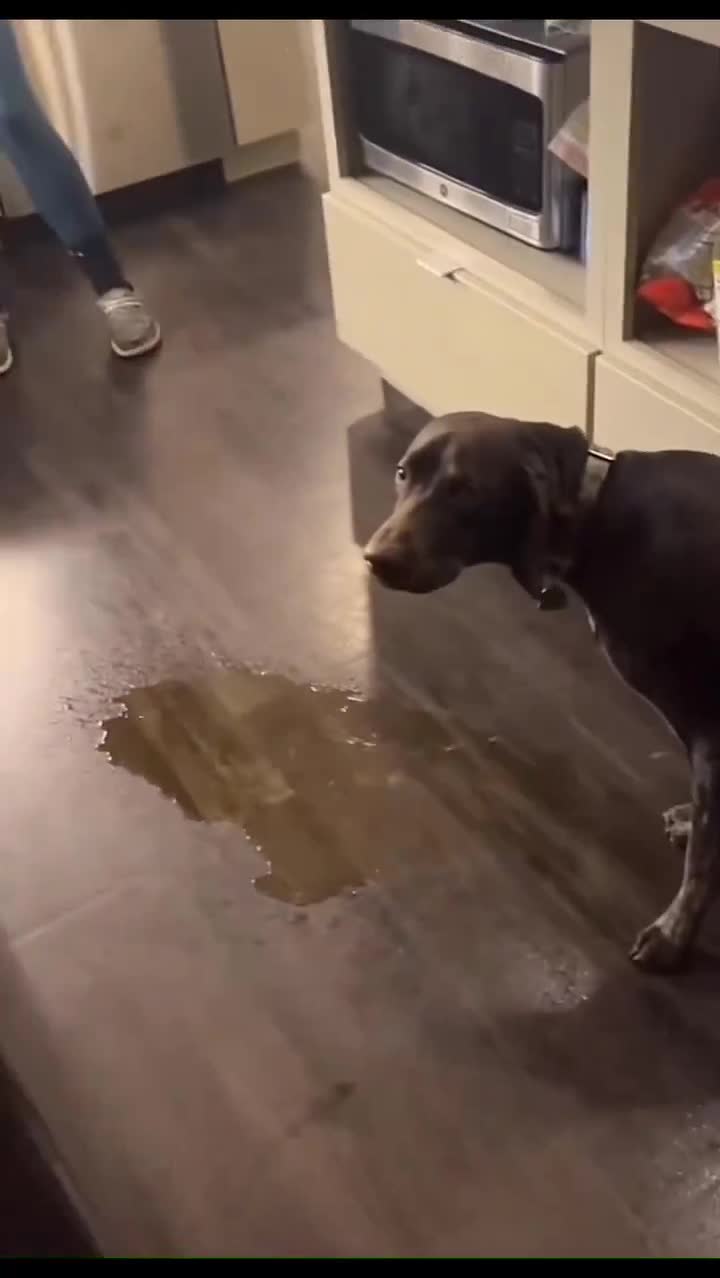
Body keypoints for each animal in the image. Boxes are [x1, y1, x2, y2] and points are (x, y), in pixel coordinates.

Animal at [363, 411, 720, 973]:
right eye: (404, 473)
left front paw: (673, 935)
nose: (375, 558)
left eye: (466, 491)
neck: (596, 516)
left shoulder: (711, 728)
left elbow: (703, 859)